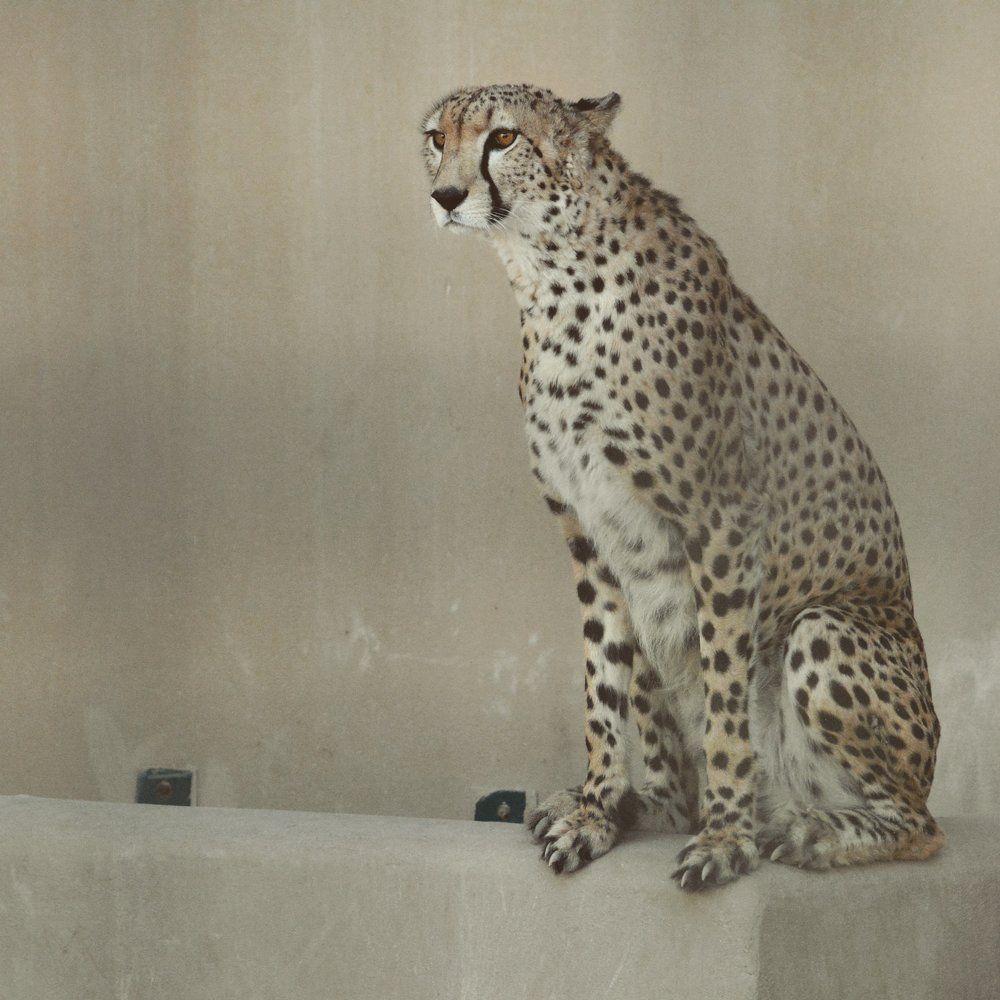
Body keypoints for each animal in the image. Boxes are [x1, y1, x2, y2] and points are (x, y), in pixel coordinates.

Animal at [420, 83, 943, 890]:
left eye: (503, 137)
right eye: (435, 138)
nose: (446, 195)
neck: (546, 271)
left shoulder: (721, 521)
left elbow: (726, 697)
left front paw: (726, 838)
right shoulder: (588, 532)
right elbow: (599, 686)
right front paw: (595, 811)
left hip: (823, 627)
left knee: (921, 826)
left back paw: (809, 829)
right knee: (669, 780)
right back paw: (629, 805)